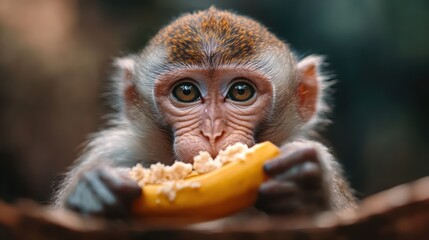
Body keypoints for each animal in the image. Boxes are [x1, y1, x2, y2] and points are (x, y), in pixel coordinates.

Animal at [52, 7, 354, 218]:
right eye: (186, 91)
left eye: (241, 91)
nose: (212, 132)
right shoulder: (114, 152)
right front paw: (91, 192)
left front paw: (308, 186)